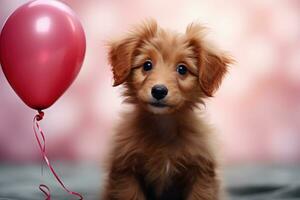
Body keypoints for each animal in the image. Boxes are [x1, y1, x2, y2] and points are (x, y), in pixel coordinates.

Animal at [102, 19, 231, 200]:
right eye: (147, 65)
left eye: (182, 69)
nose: (159, 91)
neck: (163, 126)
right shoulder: (125, 173)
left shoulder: (202, 173)